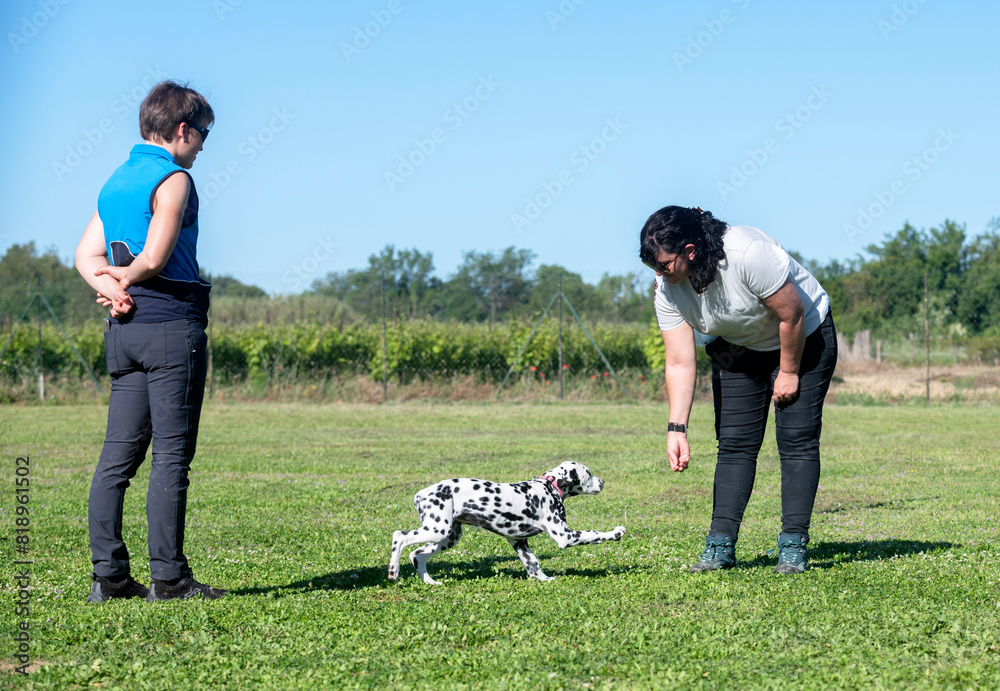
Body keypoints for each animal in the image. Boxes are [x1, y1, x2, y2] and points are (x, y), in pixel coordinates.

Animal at [386, 462, 620, 588]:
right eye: (588, 473)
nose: (603, 482)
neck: (550, 486)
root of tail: (421, 494)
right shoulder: (565, 536)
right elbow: (594, 534)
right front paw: (617, 532)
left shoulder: (519, 541)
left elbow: (533, 565)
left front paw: (544, 579)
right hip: (437, 529)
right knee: (399, 536)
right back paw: (393, 572)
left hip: (447, 537)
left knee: (417, 555)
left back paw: (430, 582)